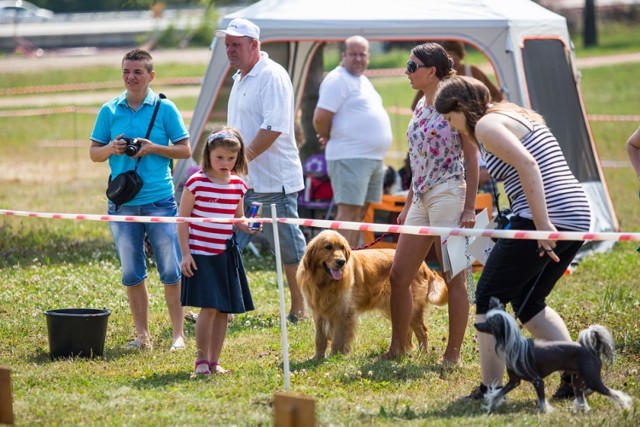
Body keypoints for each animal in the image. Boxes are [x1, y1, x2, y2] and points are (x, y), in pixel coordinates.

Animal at [472, 298, 632, 414]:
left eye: (489, 322)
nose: (475, 325)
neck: (514, 345)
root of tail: (592, 349)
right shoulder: (513, 382)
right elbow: (498, 394)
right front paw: (490, 404)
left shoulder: (537, 381)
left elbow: (542, 400)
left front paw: (545, 411)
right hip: (577, 380)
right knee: (580, 397)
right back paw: (581, 410)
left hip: (592, 379)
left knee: (613, 393)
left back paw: (625, 406)